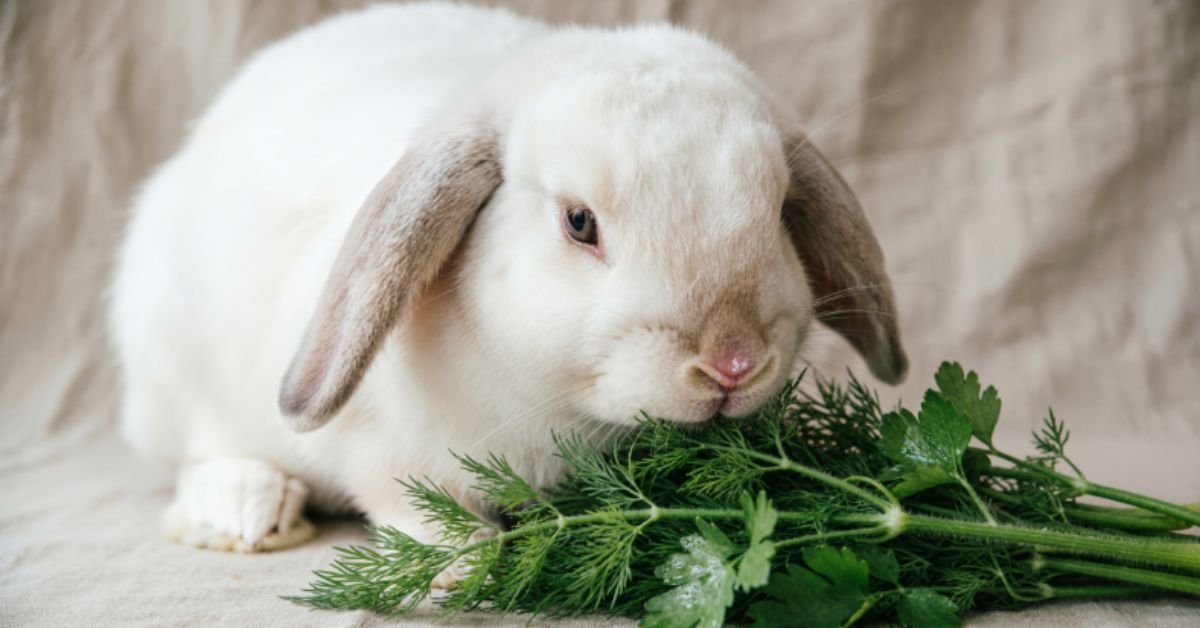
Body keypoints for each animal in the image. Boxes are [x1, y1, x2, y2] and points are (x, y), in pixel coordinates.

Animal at [109, 1, 906, 564]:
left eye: (777, 208)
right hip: (174, 374)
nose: (732, 362)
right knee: (200, 455)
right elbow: (405, 497)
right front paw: (457, 562)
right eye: (580, 222)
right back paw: (247, 510)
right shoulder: (380, 446)